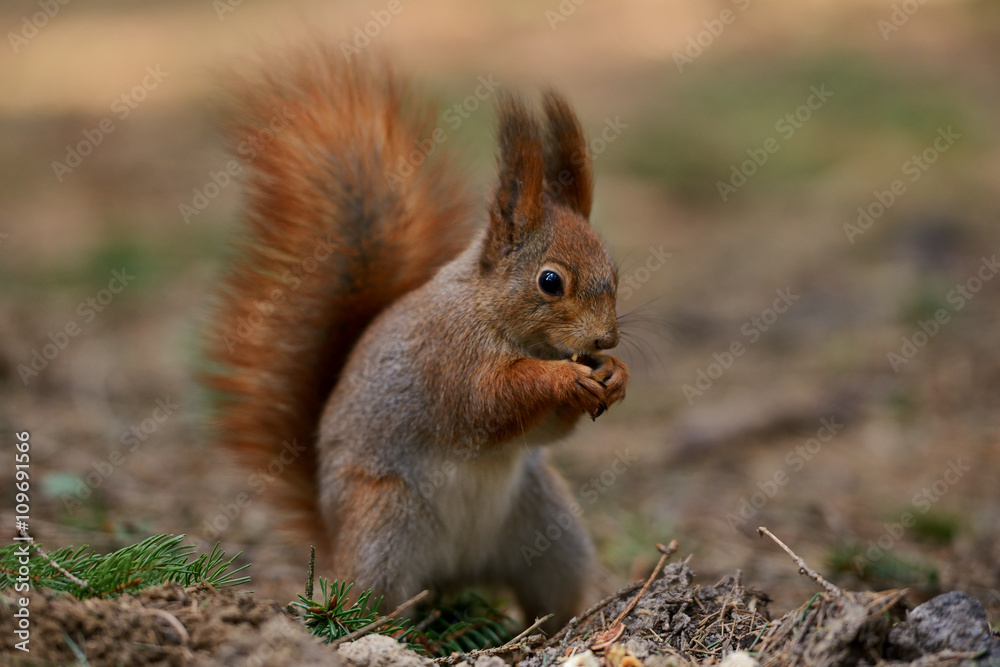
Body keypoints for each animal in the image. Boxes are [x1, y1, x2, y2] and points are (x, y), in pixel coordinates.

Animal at [206, 44, 628, 628]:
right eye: (550, 281)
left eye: (616, 272)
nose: (605, 341)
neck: (491, 314)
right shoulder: (448, 359)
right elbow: (490, 401)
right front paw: (563, 379)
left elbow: (543, 433)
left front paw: (616, 375)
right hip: (386, 523)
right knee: (375, 600)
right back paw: (401, 630)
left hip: (551, 529)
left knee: (546, 591)